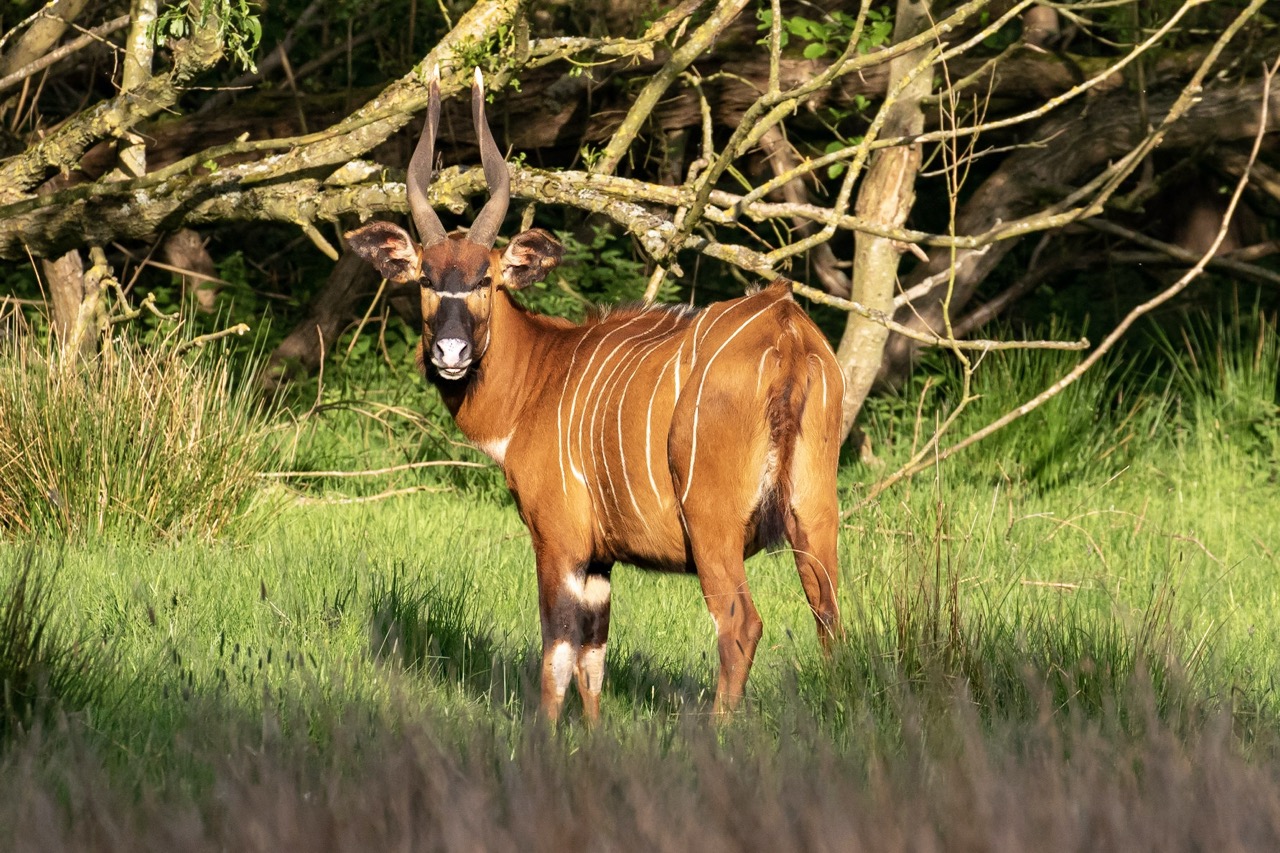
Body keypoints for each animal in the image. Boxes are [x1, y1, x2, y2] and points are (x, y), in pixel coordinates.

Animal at [345, 69, 844, 717]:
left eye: (486, 278)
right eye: (427, 278)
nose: (450, 354)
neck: (540, 375)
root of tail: (785, 327)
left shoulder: (559, 542)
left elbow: (557, 652)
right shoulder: (599, 561)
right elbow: (593, 659)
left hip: (714, 527)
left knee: (741, 624)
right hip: (815, 512)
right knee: (829, 615)